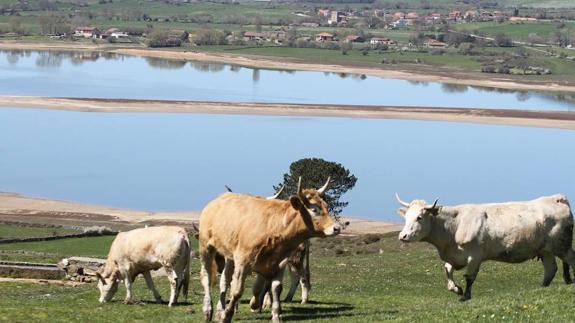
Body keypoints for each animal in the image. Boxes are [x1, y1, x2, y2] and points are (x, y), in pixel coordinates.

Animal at [199, 178, 342, 322]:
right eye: (314, 209)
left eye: (326, 206)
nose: (337, 228)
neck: (274, 226)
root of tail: (215, 202)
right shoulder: (243, 261)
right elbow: (237, 290)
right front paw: (227, 315)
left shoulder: (279, 263)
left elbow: (275, 288)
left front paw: (275, 315)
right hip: (206, 247)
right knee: (207, 277)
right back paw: (208, 309)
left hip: (230, 256)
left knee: (225, 280)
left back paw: (219, 310)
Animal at [396, 194, 575, 302]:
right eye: (406, 217)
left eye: (419, 217)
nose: (403, 236)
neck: (453, 226)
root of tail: (557, 198)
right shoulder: (454, 256)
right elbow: (447, 270)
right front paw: (456, 289)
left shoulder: (475, 256)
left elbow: (469, 277)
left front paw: (465, 296)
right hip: (546, 250)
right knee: (551, 269)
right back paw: (541, 287)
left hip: (562, 246)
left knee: (570, 259)